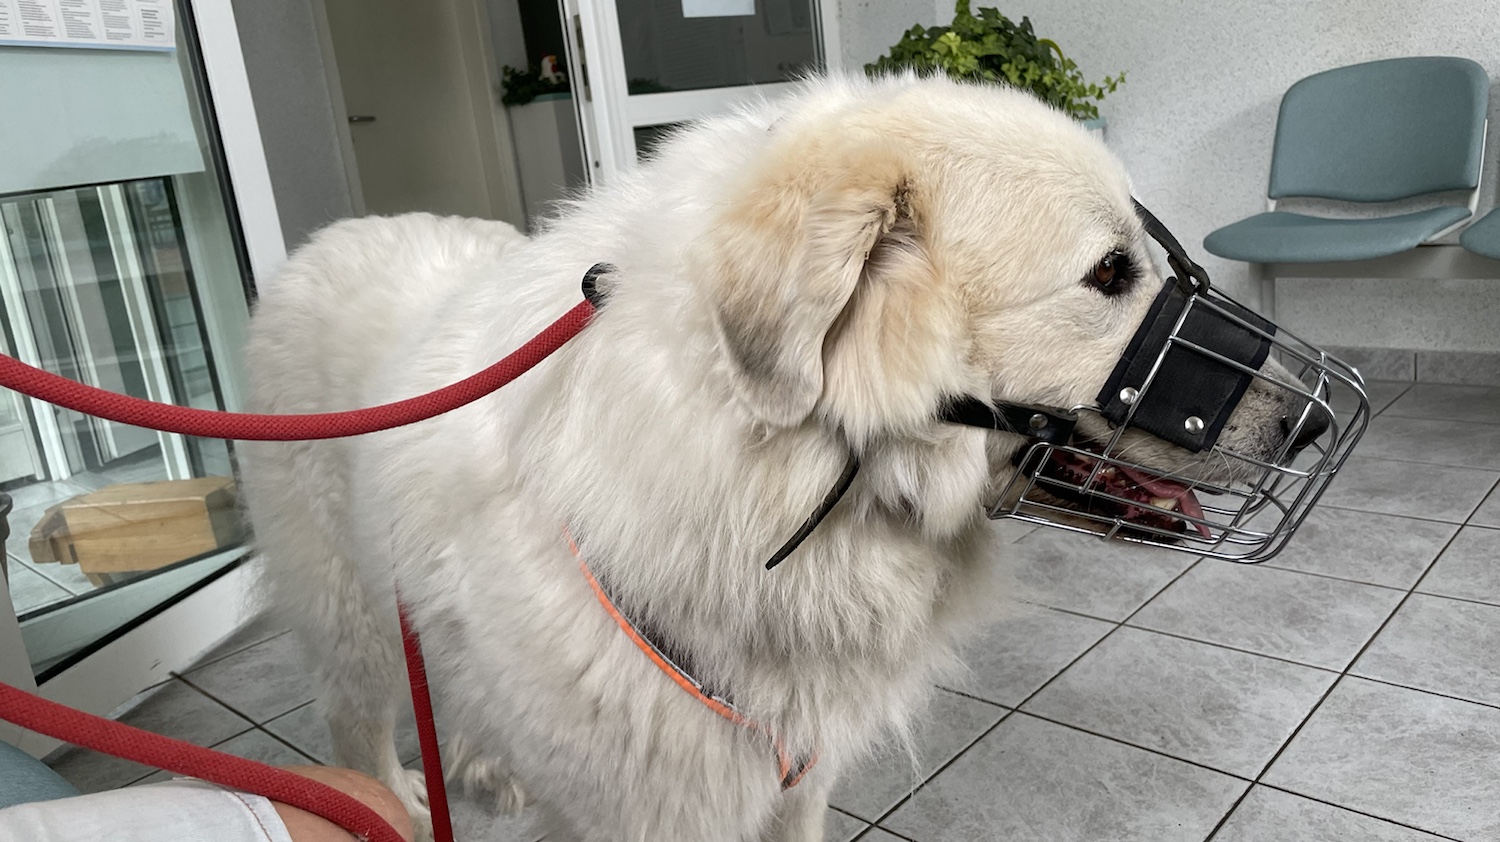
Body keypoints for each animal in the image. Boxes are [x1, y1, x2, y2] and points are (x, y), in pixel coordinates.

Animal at [240, 73, 1308, 841]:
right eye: (1111, 273)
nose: (1315, 424)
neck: (762, 485)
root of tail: (329, 237)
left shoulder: (796, 776)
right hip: (352, 615)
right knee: (355, 727)